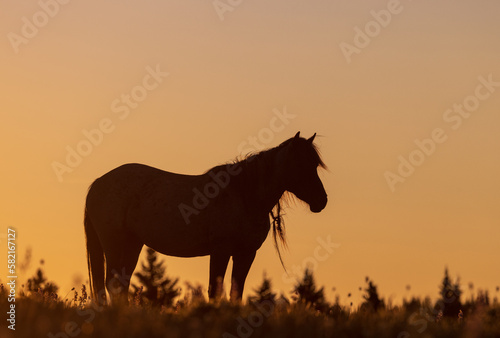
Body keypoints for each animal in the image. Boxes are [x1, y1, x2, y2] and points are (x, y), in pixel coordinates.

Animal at [83, 131, 326, 304]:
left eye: (315, 164)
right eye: (300, 164)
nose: (321, 200)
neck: (244, 194)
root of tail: (98, 183)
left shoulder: (246, 254)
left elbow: (236, 293)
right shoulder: (220, 251)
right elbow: (215, 291)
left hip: (133, 244)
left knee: (121, 285)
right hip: (113, 244)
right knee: (113, 283)